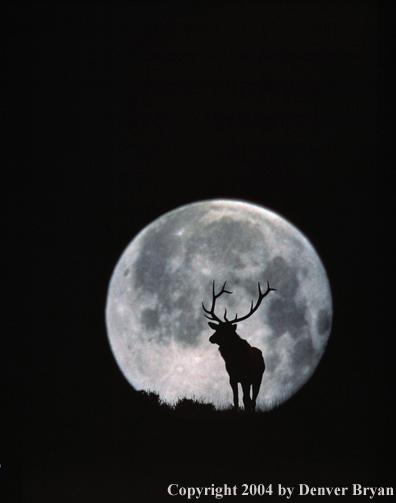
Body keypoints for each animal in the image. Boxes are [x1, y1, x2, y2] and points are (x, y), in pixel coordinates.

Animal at [203, 280, 274, 414]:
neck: (235, 359)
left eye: (226, 331)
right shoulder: (232, 377)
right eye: (217, 328)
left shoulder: (246, 377)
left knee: (253, 400)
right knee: (249, 399)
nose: (211, 338)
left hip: (258, 378)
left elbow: (246, 399)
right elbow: (235, 399)